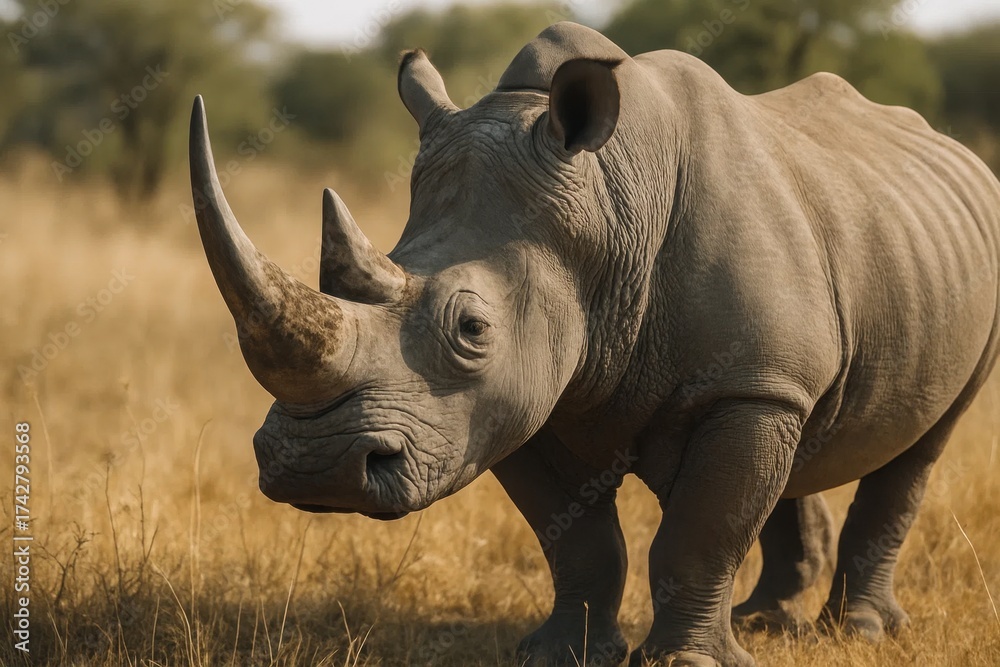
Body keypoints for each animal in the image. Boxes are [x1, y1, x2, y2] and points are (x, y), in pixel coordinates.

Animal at [190, 21, 1000, 667]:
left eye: (472, 329)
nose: (317, 469)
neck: (607, 211)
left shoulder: (739, 382)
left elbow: (702, 529)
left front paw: (685, 664)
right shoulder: (519, 395)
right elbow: (577, 539)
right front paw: (560, 654)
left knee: (921, 446)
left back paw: (859, 633)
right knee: (799, 438)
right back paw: (765, 623)